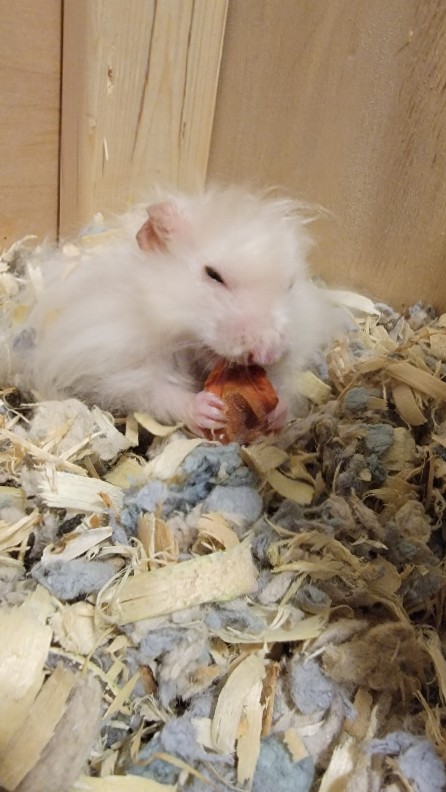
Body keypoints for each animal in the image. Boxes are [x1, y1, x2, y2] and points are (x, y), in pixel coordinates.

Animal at [13, 185, 338, 435]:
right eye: (213, 275)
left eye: (290, 284)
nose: (269, 352)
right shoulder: (112, 366)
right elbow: (156, 390)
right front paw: (208, 410)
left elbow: (283, 388)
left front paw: (276, 415)